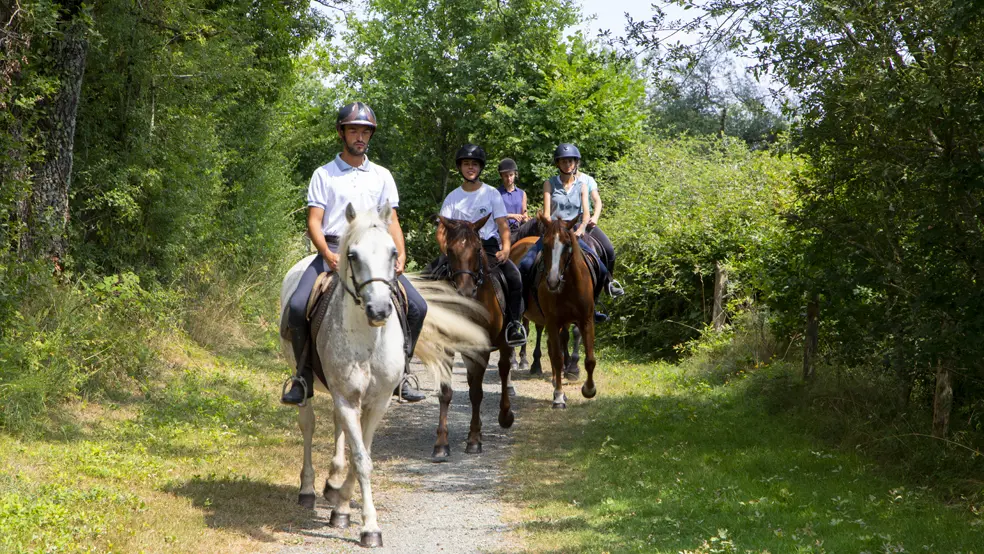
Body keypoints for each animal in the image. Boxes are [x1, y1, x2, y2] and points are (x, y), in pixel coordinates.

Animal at [280, 201, 488, 544]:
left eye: (393, 252)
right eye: (352, 254)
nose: (378, 310)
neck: (367, 338)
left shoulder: (377, 401)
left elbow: (361, 455)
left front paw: (343, 508)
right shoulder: (348, 398)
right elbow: (361, 459)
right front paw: (368, 527)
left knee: (337, 427)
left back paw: (332, 483)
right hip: (306, 382)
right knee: (308, 423)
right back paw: (308, 489)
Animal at [434, 213, 520, 460]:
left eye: (477, 248)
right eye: (450, 250)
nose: (465, 291)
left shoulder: (480, 348)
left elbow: (476, 393)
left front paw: (473, 440)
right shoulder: (447, 347)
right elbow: (445, 392)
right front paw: (441, 444)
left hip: (503, 344)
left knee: (503, 370)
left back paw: (505, 416)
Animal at [516, 213, 600, 408]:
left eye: (568, 244)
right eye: (545, 244)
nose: (553, 281)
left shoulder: (586, 320)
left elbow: (589, 359)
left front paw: (589, 389)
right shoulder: (553, 322)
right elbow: (557, 358)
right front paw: (559, 396)